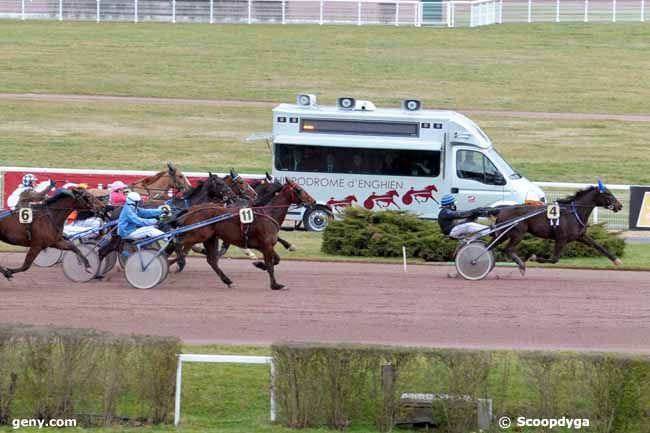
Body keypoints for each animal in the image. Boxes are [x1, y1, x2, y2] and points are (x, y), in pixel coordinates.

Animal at [171, 179, 316, 290]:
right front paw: (276, 285)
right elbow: (271, 266)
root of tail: (191, 209)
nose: (313, 201)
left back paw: (228, 281)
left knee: (212, 261)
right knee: (177, 242)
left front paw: (259, 264)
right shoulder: (266, 245)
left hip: (210, 238)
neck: (269, 214)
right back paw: (180, 260)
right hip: (198, 234)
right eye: (299, 189)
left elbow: (276, 260)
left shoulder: (265, 246)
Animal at [492, 182, 624, 274]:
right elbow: (554, 259)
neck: (574, 213)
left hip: (504, 234)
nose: (620, 206)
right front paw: (534, 258)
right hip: (517, 234)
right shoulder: (561, 239)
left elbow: (598, 246)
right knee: (508, 249)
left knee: (492, 246)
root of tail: (501, 210)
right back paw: (521, 265)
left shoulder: (581, 236)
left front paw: (616, 260)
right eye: (608, 194)